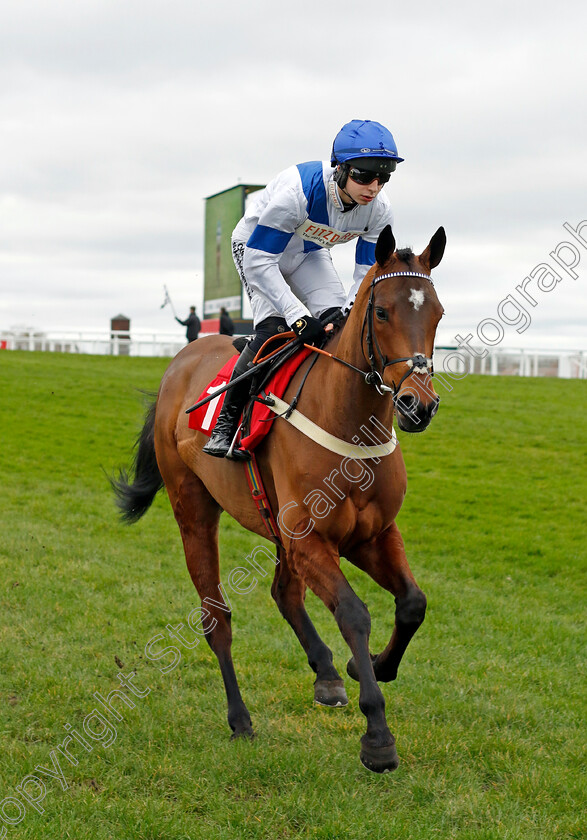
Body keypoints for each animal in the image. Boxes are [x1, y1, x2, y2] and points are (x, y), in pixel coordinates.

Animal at [113, 225, 446, 776]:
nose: (418, 404)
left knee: (284, 593)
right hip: (193, 509)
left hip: (275, 523)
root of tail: (178, 364)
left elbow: (413, 604)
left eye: (437, 311)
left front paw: (370, 666)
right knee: (216, 618)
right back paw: (240, 717)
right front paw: (377, 736)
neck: (347, 418)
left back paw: (326, 674)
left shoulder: (371, 535)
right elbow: (354, 613)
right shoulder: (311, 538)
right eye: (382, 312)